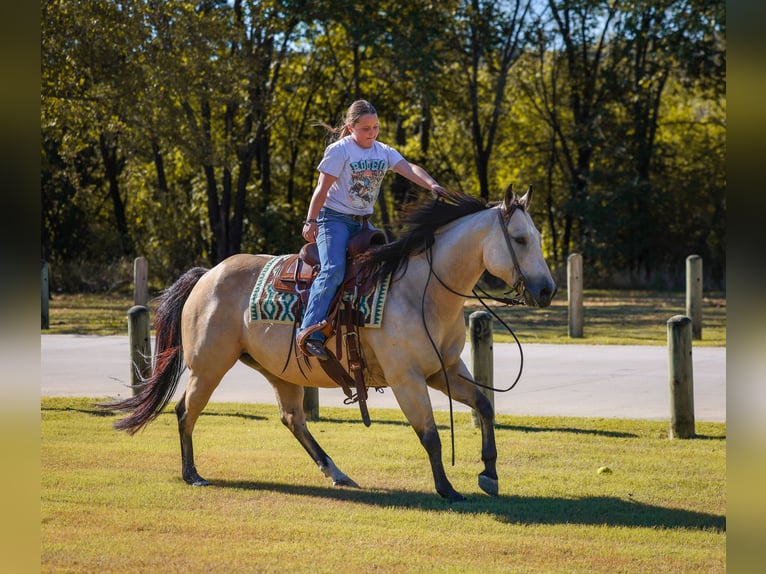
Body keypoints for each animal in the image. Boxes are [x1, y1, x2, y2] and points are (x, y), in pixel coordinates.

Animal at [106, 185, 556, 503]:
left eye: (535, 236)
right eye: (519, 239)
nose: (547, 290)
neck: (421, 290)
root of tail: (207, 275)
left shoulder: (442, 370)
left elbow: (483, 406)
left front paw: (489, 474)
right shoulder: (407, 378)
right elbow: (429, 434)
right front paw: (447, 489)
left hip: (279, 371)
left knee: (293, 419)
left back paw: (337, 472)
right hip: (208, 365)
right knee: (186, 410)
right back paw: (192, 474)